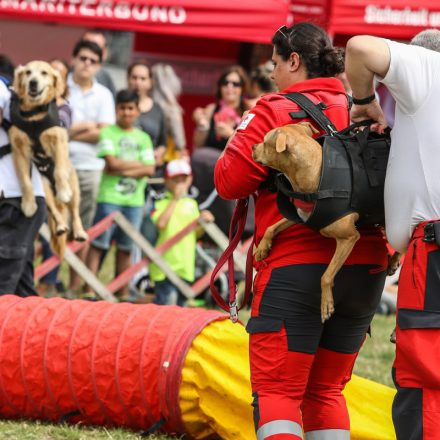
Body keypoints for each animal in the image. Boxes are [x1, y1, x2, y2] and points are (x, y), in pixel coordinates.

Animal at [9, 60, 87, 256]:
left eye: (44, 73)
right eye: (28, 72)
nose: (33, 83)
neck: (34, 113)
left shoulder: (58, 139)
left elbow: (59, 171)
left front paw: (63, 191)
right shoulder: (19, 148)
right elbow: (25, 182)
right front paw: (28, 205)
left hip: (75, 188)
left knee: (74, 211)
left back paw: (80, 232)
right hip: (44, 189)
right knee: (54, 211)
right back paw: (60, 226)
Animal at [251, 122, 398, 322]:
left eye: (265, 142)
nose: (252, 147)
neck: (315, 174)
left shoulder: (349, 238)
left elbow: (326, 276)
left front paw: (326, 304)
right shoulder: (302, 216)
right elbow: (272, 227)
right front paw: (262, 248)